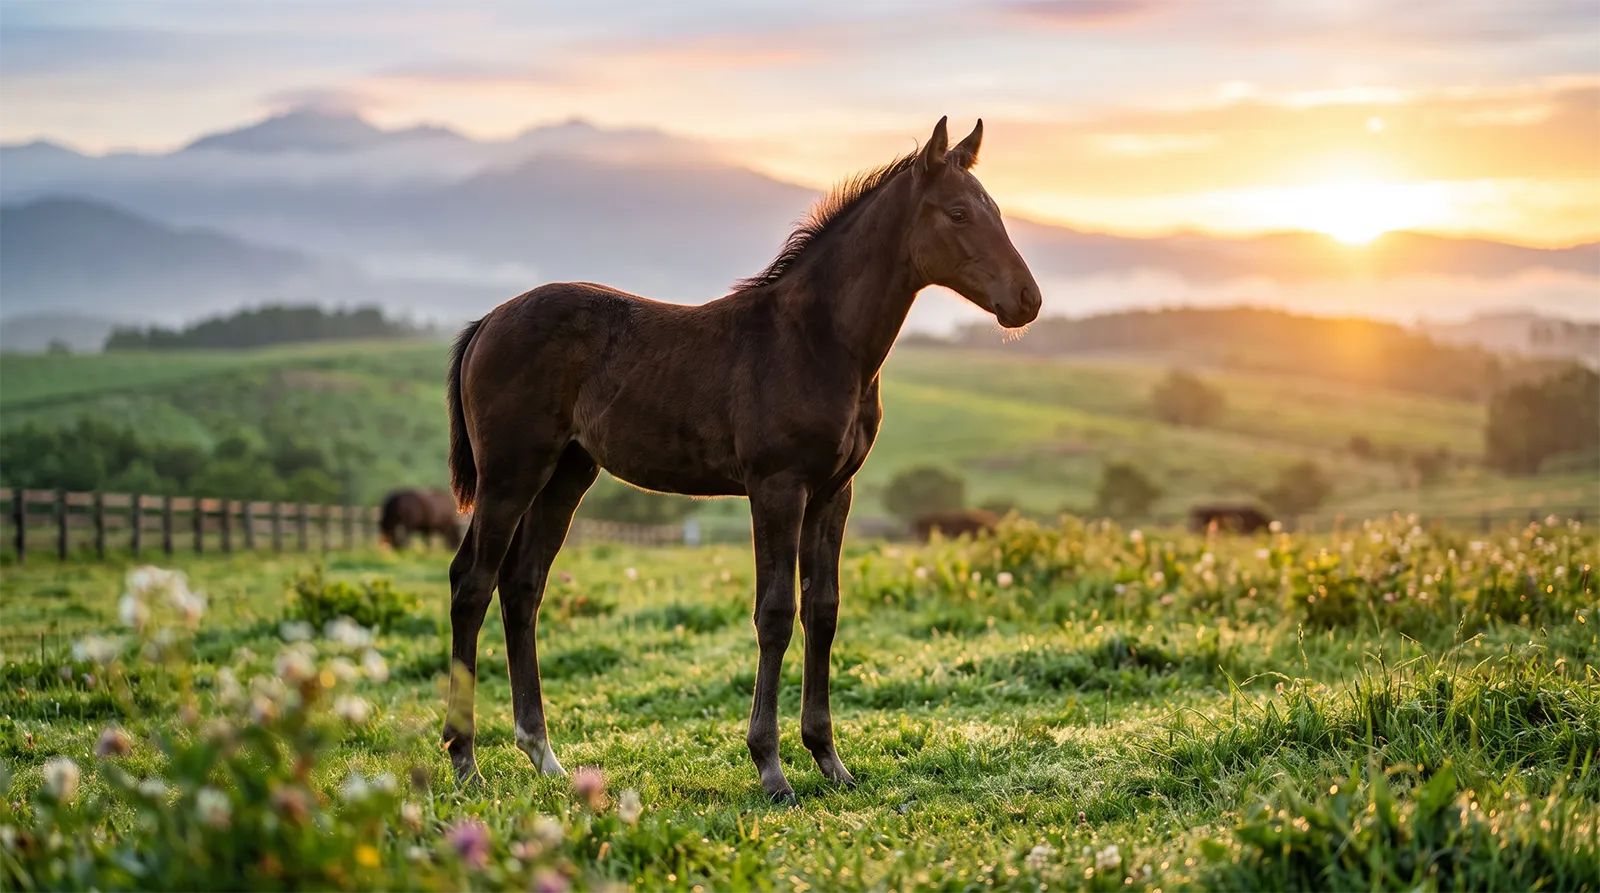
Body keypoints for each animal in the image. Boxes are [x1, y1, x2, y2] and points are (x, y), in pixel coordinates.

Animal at [441, 117, 1041, 803]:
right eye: (959, 212)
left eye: (998, 210)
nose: (1027, 301)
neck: (816, 341)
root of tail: (489, 321)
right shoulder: (777, 487)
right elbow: (776, 613)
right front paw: (771, 769)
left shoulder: (833, 493)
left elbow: (823, 609)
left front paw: (831, 762)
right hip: (510, 474)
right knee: (472, 582)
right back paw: (465, 761)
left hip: (567, 475)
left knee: (522, 586)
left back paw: (545, 757)